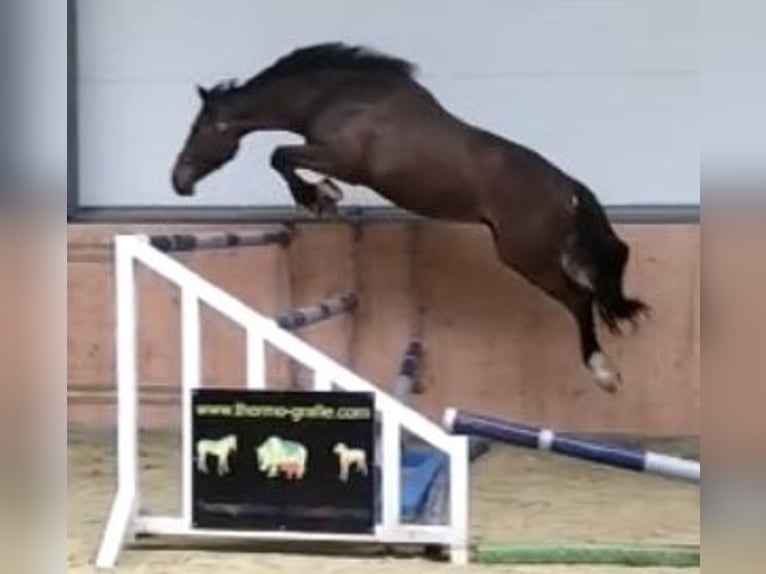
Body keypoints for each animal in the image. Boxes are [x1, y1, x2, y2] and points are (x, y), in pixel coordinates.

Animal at [171, 42, 649, 393]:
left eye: (198, 129)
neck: (336, 97)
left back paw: (604, 372)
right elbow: (283, 157)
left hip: (526, 256)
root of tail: (568, 188)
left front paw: (321, 197)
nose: (179, 181)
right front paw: (323, 196)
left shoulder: (341, 159)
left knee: (579, 299)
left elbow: (279, 155)